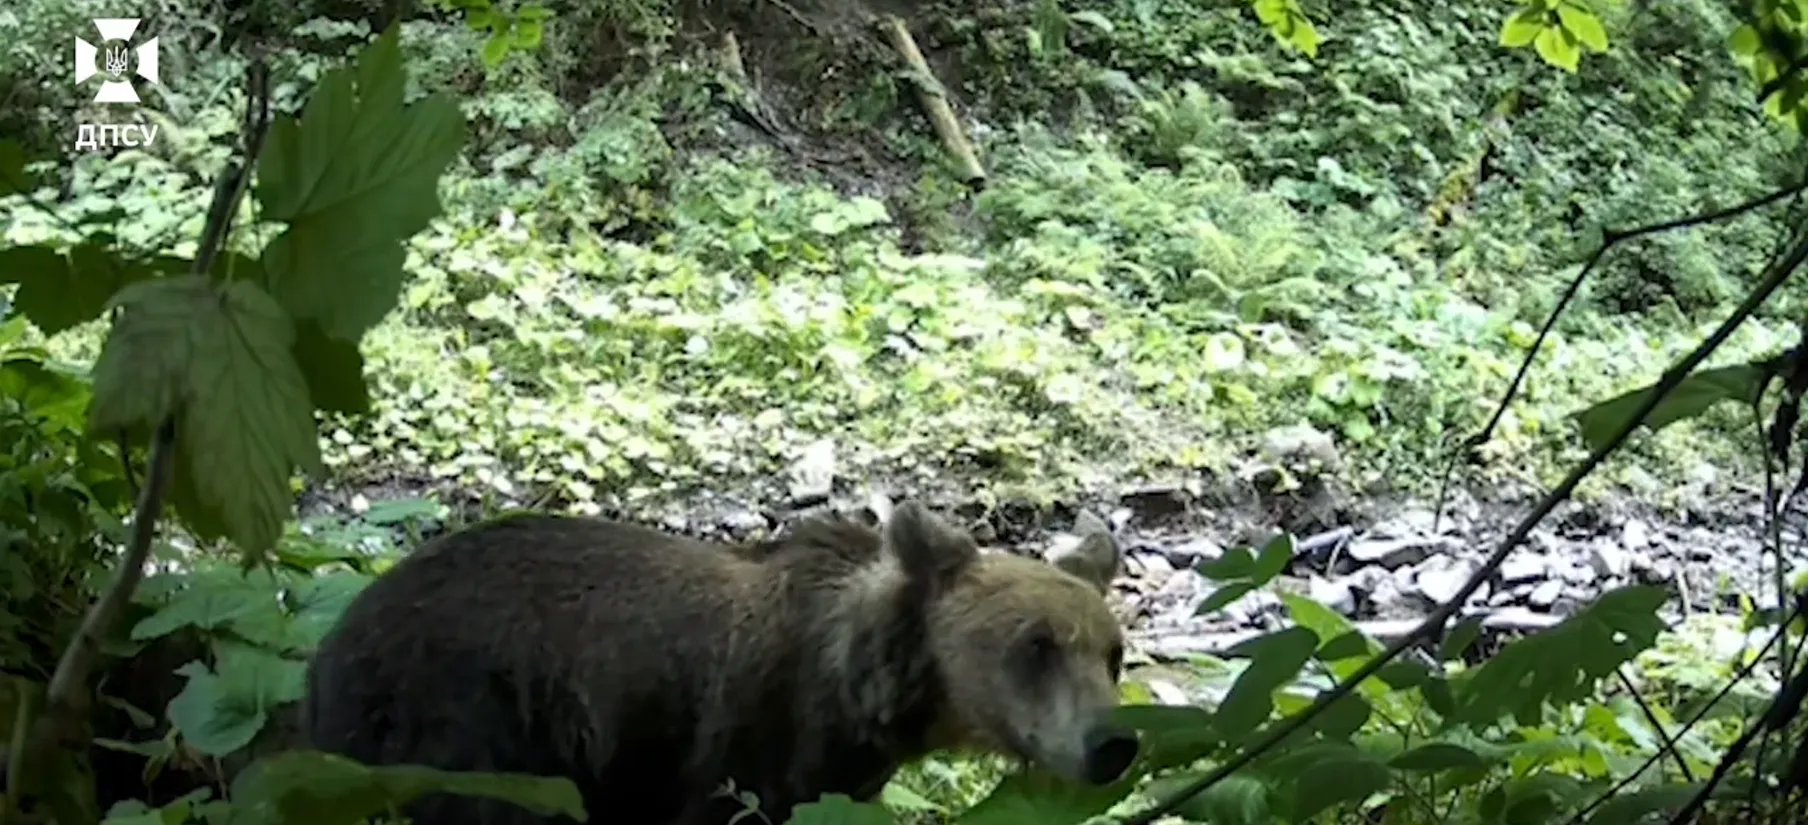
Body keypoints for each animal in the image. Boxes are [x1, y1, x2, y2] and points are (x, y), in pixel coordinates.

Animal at [300, 499, 1136, 825]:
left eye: (1113, 653)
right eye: (1035, 643)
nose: (1113, 741)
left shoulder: (842, 775)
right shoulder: (739, 743)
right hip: (468, 721)